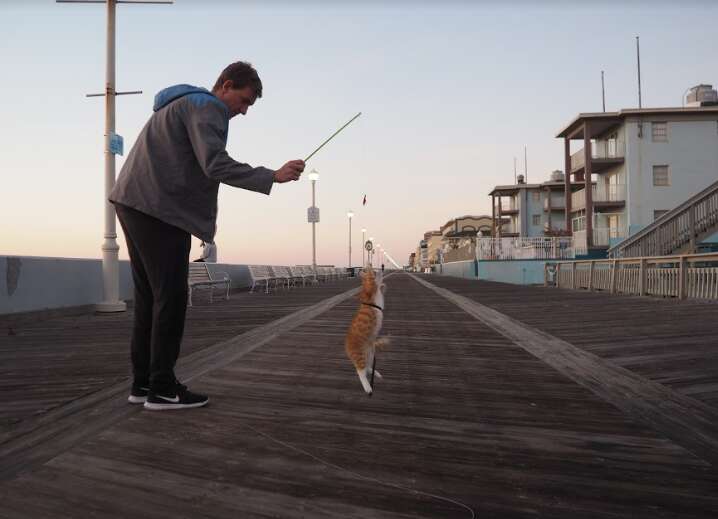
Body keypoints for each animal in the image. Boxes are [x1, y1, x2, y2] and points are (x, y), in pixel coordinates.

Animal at [344, 266, 388, 396]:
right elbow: (373, 282)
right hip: (360, 356)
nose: (381, 267)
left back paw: (375, 373)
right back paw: (367, 387)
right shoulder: (371, 290)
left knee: (367, 368)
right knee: (360, 371)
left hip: (370, 354)